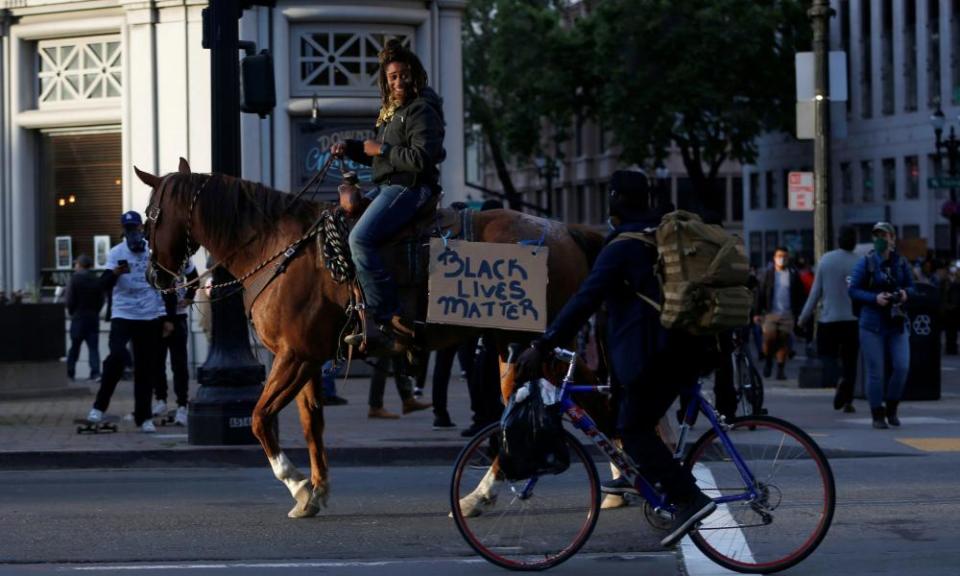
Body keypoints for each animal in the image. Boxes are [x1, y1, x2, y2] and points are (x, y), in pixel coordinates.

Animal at [133, 160, 608, 520]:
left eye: (153, 215)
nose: (154, 276)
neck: (278, 247)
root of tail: (566, 230)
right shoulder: (307, 359)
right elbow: (311, 424)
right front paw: (317, 490)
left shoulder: (293, 356)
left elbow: (258, 418)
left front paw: (296, 483)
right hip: (517, 349)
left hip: (534, 346)